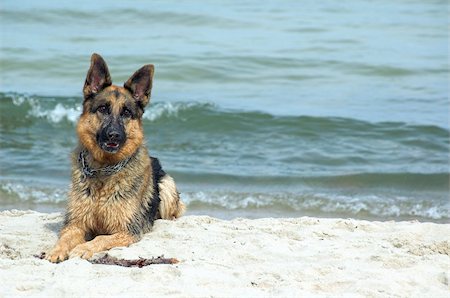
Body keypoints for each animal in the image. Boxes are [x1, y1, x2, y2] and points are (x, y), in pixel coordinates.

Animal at [46, 53, 185, 264]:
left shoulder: (126, 231)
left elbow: (101, 238)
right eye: (103, 108)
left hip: (166, 187)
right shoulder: (76, 223)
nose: (114, 135)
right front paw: (56, 250)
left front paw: (84, 248)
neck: (103, 169)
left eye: (126, 112)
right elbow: (66, 237)